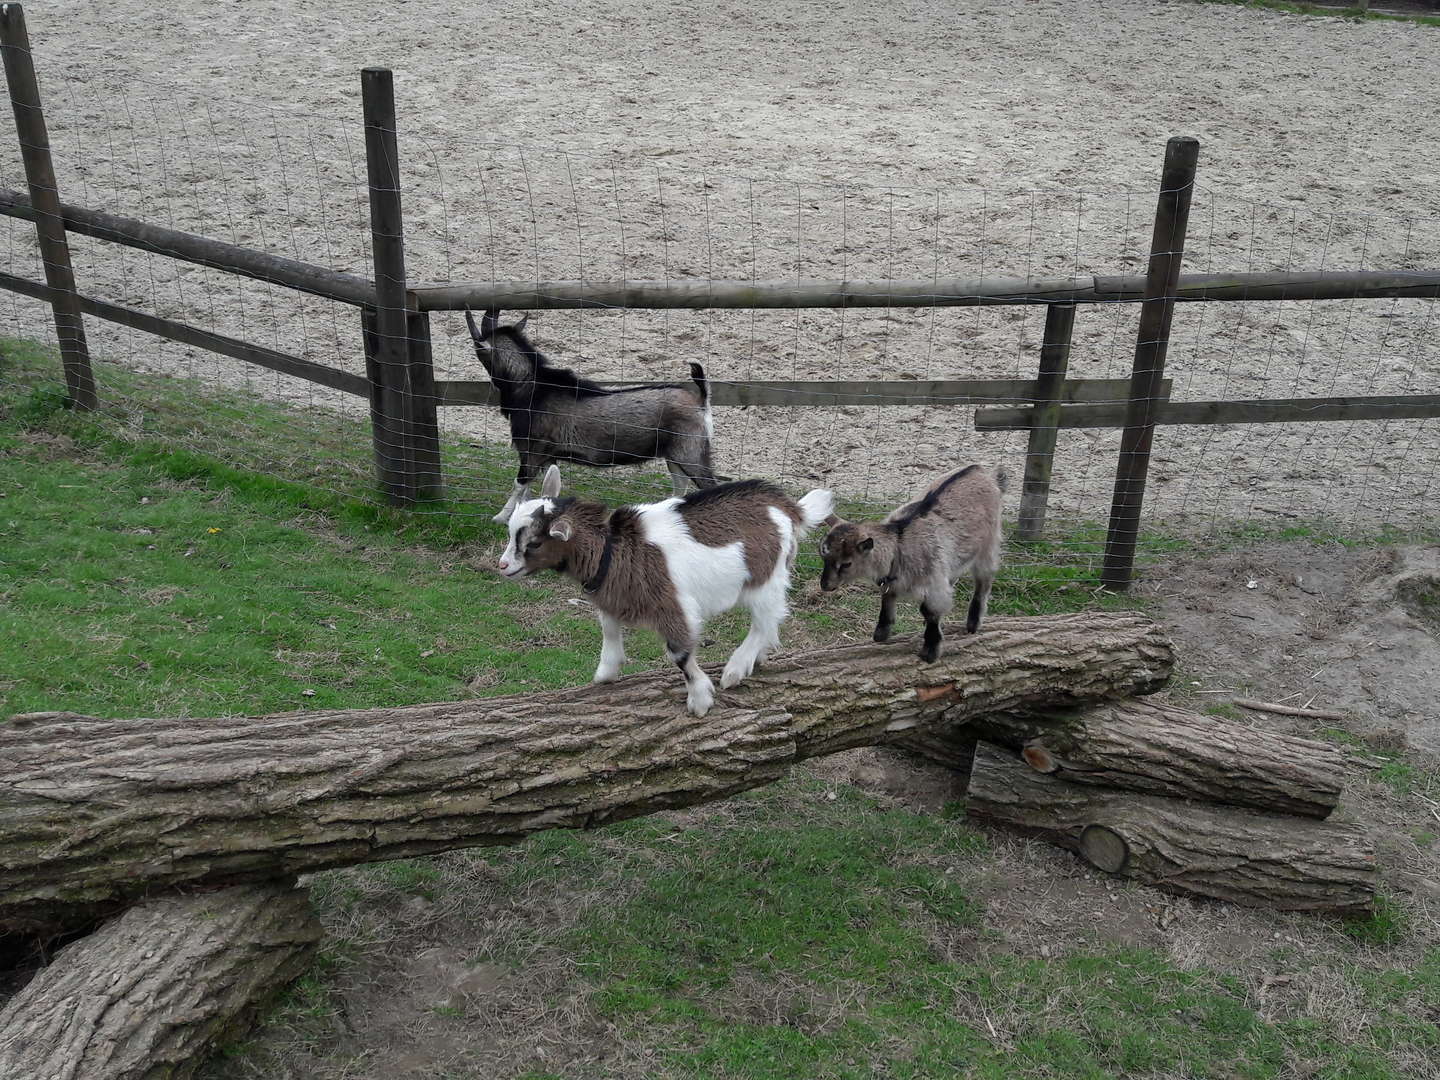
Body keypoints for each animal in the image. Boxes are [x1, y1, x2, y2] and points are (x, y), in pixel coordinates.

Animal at [469, 308, 717, 524]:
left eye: (478, 347)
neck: (531, 387)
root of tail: (701, 399)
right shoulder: (547, 455)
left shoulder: (533, 449)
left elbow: (519, 484)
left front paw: (500, 517)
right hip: (674, 455)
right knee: (680, 486)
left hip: (690, 452)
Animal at [501, 466, 835, 714]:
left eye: (534, 543)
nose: (503, 566)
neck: (613, 548)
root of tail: (788, 507)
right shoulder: (613, 597)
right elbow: (609, 628)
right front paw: (606, 673)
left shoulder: (672, 603)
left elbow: (679, 652)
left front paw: (700, 699)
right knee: (772, 622)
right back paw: (757, 659)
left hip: (765, 578)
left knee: (766, 620)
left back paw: (736, 669)